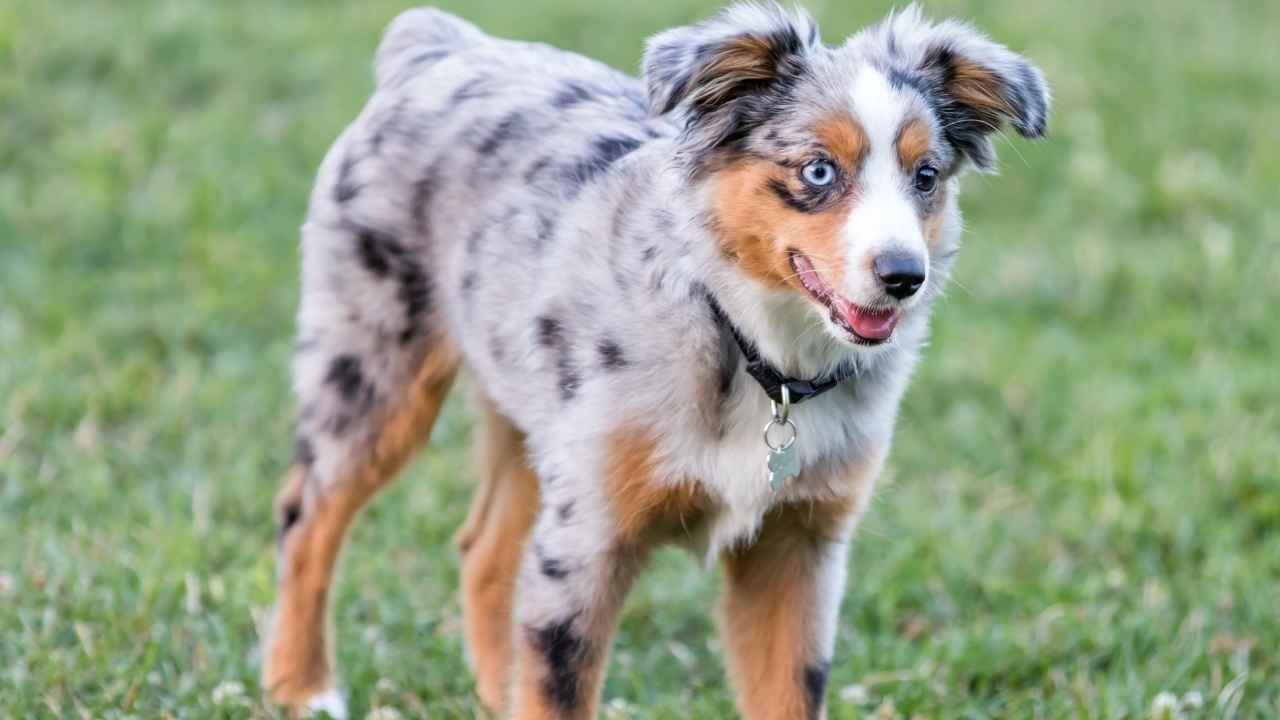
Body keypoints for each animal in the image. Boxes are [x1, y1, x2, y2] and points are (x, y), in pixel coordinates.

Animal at [262, 2, 1049, 712]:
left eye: (927, 176)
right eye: (819, 171)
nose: (904, 276)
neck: (755, 351)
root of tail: (442, 46)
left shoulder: (798, 548)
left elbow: (790, 694)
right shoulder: (587, 539)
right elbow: (555, 691)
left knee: (484, 550)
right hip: (371, 370)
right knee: (307, 515)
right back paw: (301, 688)